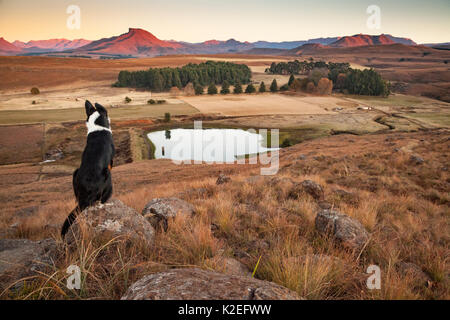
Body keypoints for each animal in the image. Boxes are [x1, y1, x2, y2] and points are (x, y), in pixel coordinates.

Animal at [60, 100, 115, 238]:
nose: (87, 101)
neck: (98, 126)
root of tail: (85, 197)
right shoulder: (111, 161)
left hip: (75, 173)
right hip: (108, 177)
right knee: (102, 199)